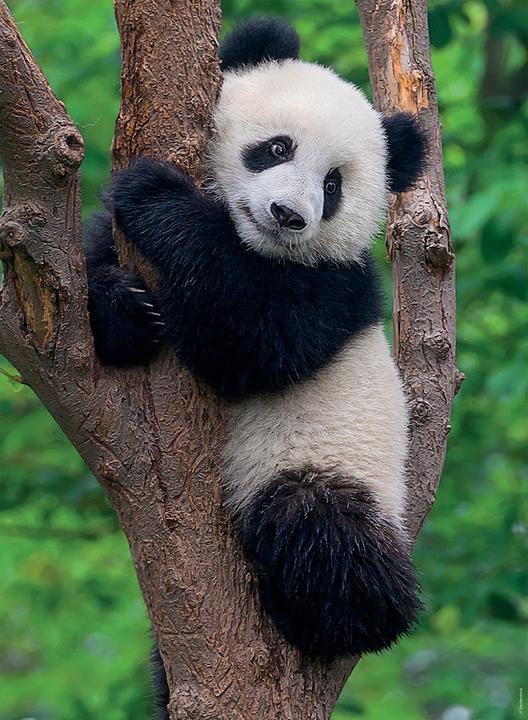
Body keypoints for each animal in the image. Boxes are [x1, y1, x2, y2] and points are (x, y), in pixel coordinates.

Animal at [86, 17, 426, 663]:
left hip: (329, 462)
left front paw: (154, 195)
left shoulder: (335, 287)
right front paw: (126, 309)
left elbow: (251, 339)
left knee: (323, 533)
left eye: (333, 184)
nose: (289, 214)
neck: (257, 246)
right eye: (277, 148)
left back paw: (333, 616)